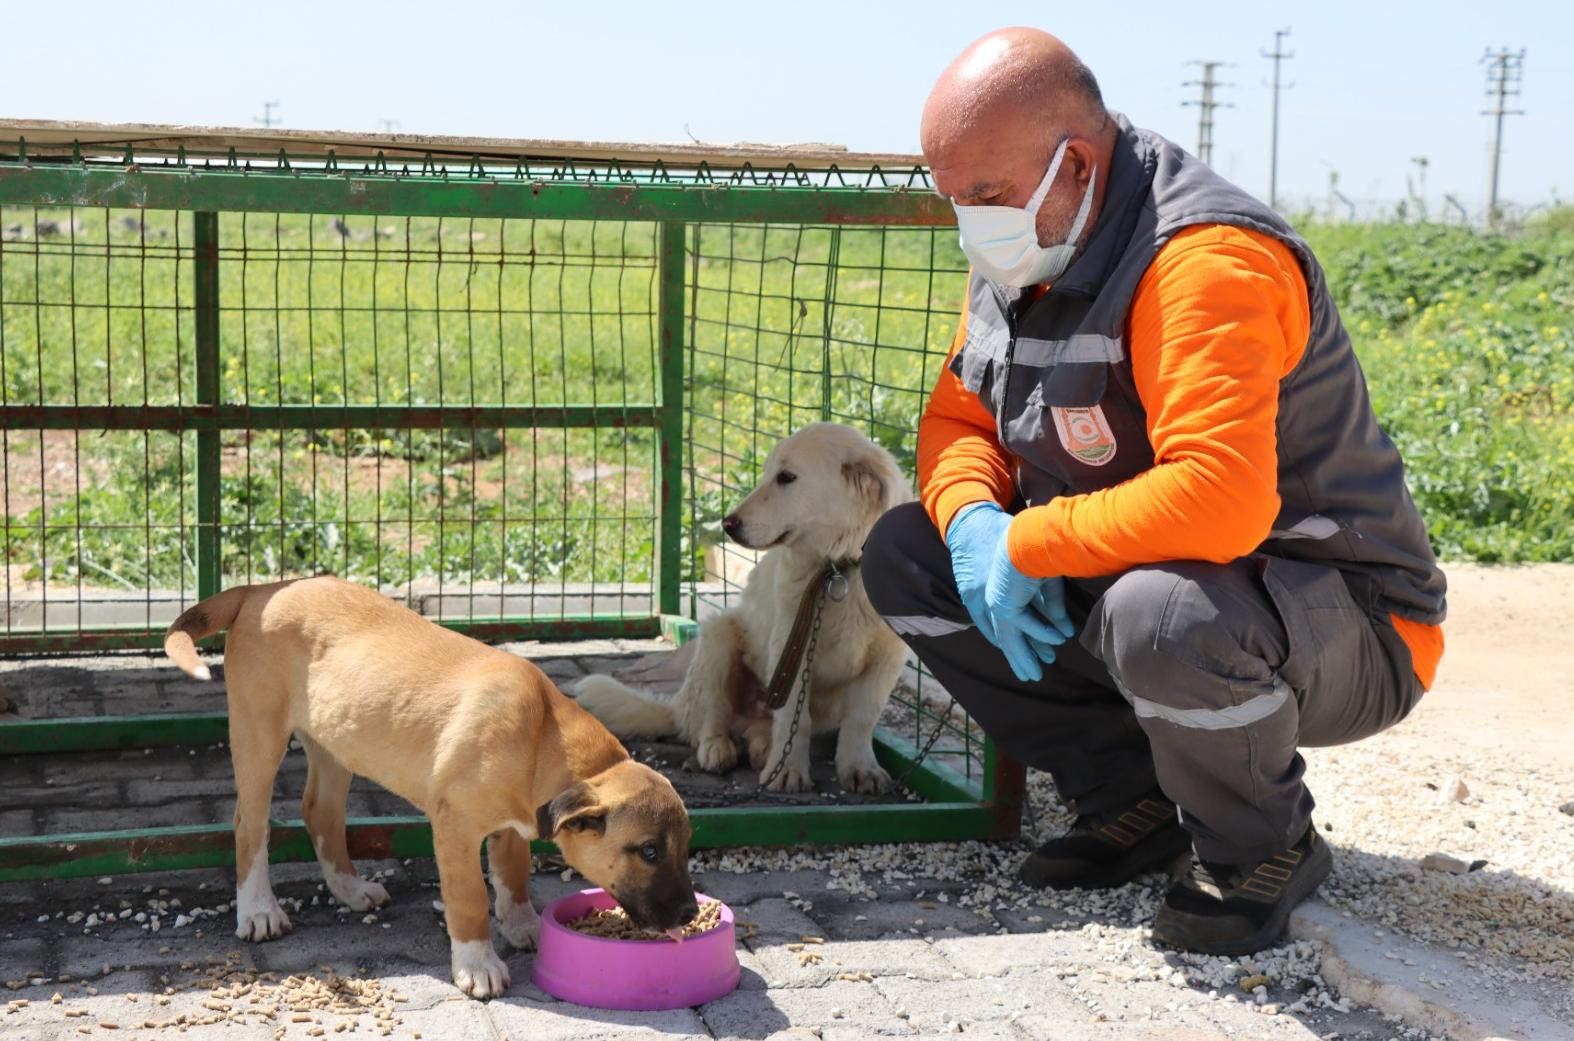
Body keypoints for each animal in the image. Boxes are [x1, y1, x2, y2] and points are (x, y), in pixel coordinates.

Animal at [162, 576, 698, 1001]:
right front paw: (479, 965)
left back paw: (351, 890)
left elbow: (513, 875)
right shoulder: (456, 826)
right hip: (259, 730)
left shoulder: (512, 824)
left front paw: (523, 925)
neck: (541, 735)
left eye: (683, 848)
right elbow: (469, 898)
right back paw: (259, 911)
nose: (692, 912)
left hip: (335, 741)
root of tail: (260, 589)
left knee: (320, 812)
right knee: (249, 822)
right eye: (649, 851)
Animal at [576, 418, 912, 787]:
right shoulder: (791, 643)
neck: (839, 569)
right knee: (710, 720)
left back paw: (761, 747)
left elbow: (861, 718)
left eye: (786, 477)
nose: (727, 524)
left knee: (757, 729)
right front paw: (788, 770)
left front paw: (860, 768)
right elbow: (794, 718)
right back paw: (718, 749)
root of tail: (678, 706)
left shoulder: (888, 656)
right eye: (767, 473)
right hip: (719, 637)